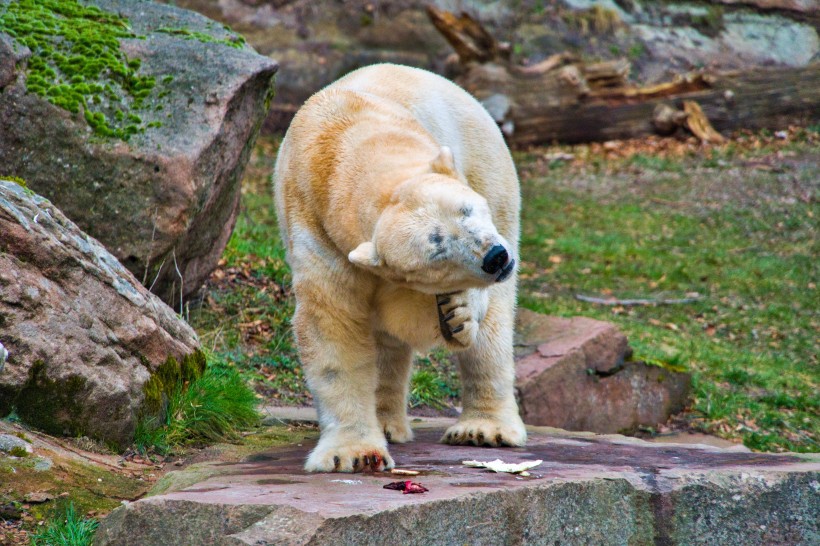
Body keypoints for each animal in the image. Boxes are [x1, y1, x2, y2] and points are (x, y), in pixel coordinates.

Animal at [274, 65, 524, 472]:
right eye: (437, 250)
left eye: (467, 210)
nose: (495, 257)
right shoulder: (315, 227)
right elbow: (334, 322)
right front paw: (355, 453)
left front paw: (457, 312)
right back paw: (388, 425)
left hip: (491, 172)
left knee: (493, 330)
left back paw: (483, 429)